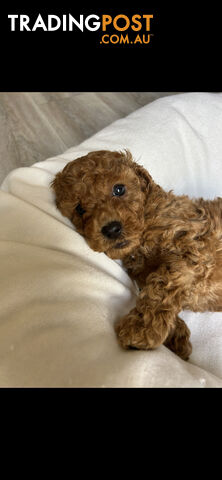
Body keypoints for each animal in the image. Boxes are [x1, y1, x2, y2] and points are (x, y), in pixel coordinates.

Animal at [51, 150, 222, 360]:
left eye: (119, 189)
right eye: (80, 209)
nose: (111, 229)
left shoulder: (193, 244)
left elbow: (163, 283)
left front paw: (139, 330)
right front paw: (177, 338)